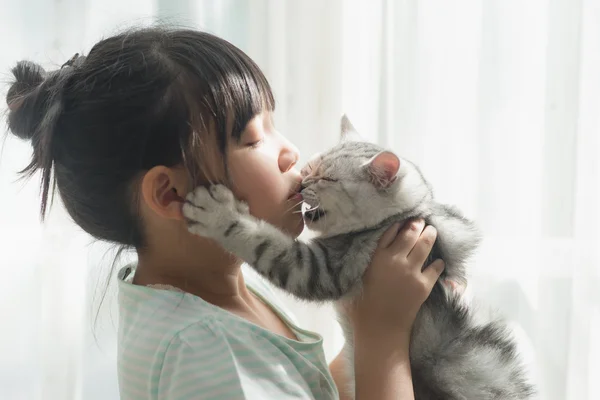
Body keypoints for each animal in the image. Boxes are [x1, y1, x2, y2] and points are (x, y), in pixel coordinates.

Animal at [182, 114, 536, 398]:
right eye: (309, 167)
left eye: (326, 178)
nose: (301, 183)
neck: (407, 215)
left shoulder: (322, 269)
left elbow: (264, 242)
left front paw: (218, 214)